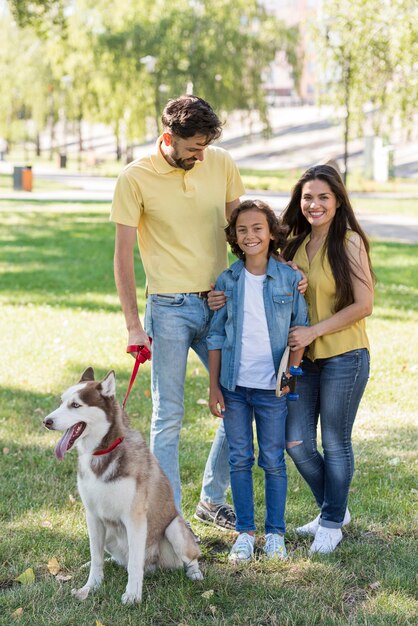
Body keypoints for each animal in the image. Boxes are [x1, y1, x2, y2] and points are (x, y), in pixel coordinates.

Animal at [43, 368, 203, 604]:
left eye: (75, 405)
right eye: (61, 402)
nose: (46, 421)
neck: (101, 453)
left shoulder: (135, 518)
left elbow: (135, 564)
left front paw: (133, 595)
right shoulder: (92, 516)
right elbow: (96, 556)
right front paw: (90, 586)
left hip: (174, 528)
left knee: (189, 557)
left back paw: (194, 573)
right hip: (109, 533)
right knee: (112, 557)